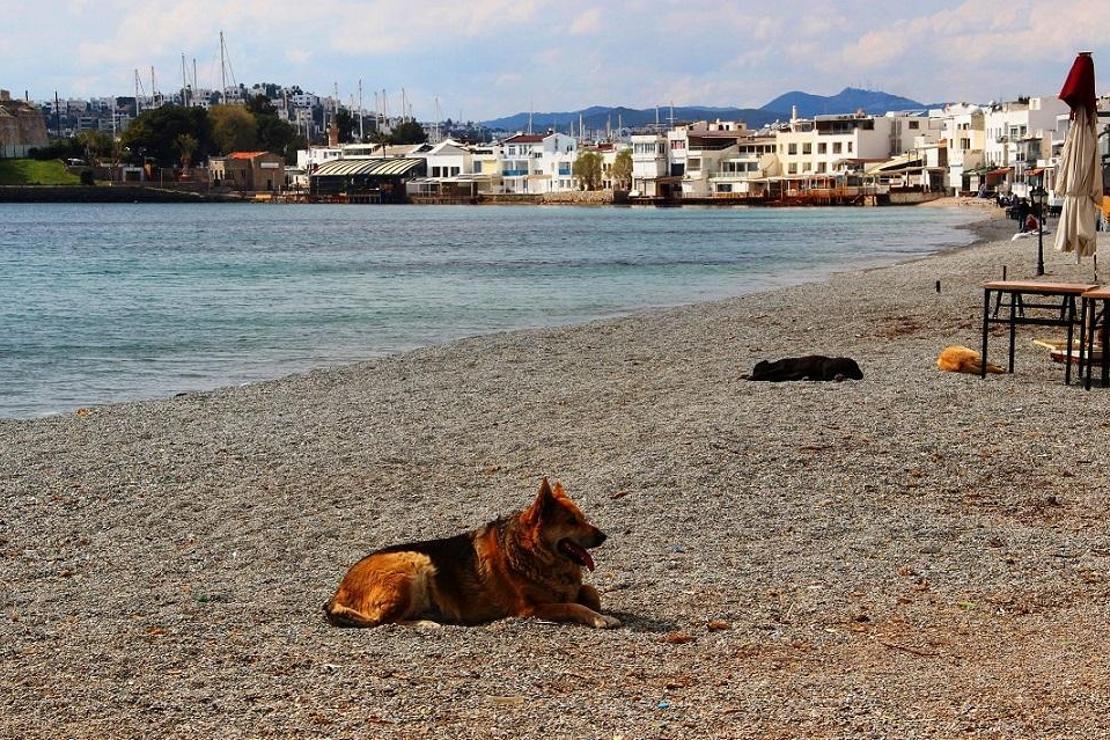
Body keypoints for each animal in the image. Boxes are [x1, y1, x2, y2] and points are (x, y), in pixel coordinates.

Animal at [324, 481, 626, 630]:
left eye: (582, 517)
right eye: (571, 521)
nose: (603, 536)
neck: (531, 552)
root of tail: (339, 591)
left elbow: (589, 593)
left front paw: (596, 606)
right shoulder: (531, 609)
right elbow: (573, 606)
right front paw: (600, 618)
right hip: (414, 561)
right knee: (386, 621)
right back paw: (427, 623)